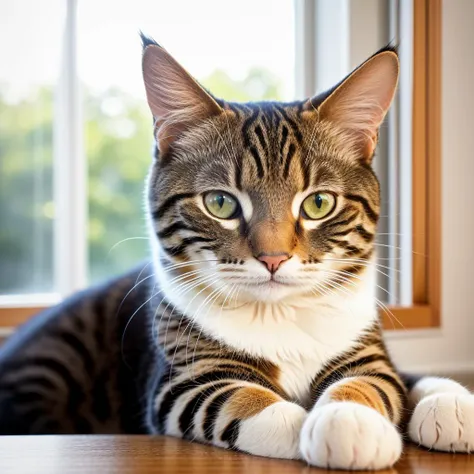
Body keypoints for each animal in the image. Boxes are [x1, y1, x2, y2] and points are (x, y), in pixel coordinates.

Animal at [0, 34, 474, 470]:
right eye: (220, 203)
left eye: (319, 203)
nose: (273, 258)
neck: (281, 318)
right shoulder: (182, 377)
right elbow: (241, 399)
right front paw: (332, 426)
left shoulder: (367, 347)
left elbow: (383, 379)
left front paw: (420, 406)